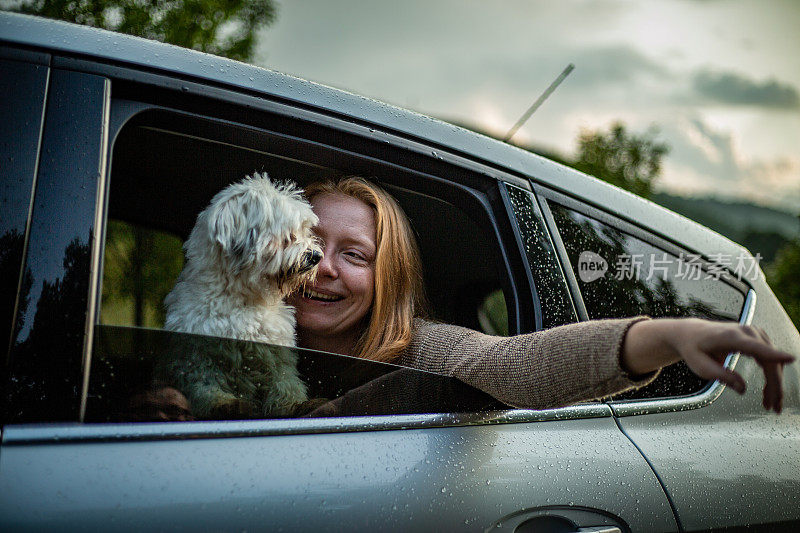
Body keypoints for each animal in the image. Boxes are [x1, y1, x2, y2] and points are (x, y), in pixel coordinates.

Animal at [162, 172, 322, 418]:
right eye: (288, 235)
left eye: (306, 231)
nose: (316, 256)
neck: (244, 298)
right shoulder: (198, 356)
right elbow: (206, 382)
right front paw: (224, 403)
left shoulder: (277, 354)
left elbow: (285, 382)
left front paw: (294, 404)